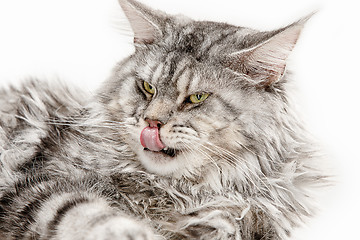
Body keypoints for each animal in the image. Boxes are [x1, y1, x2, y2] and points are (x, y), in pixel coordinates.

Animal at [0, 0, 326, 240]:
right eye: (147, 87)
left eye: (197, 98)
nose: (151, 122)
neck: (177, 191)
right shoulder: (37, 184)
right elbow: (82, 211)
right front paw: (132, 232)